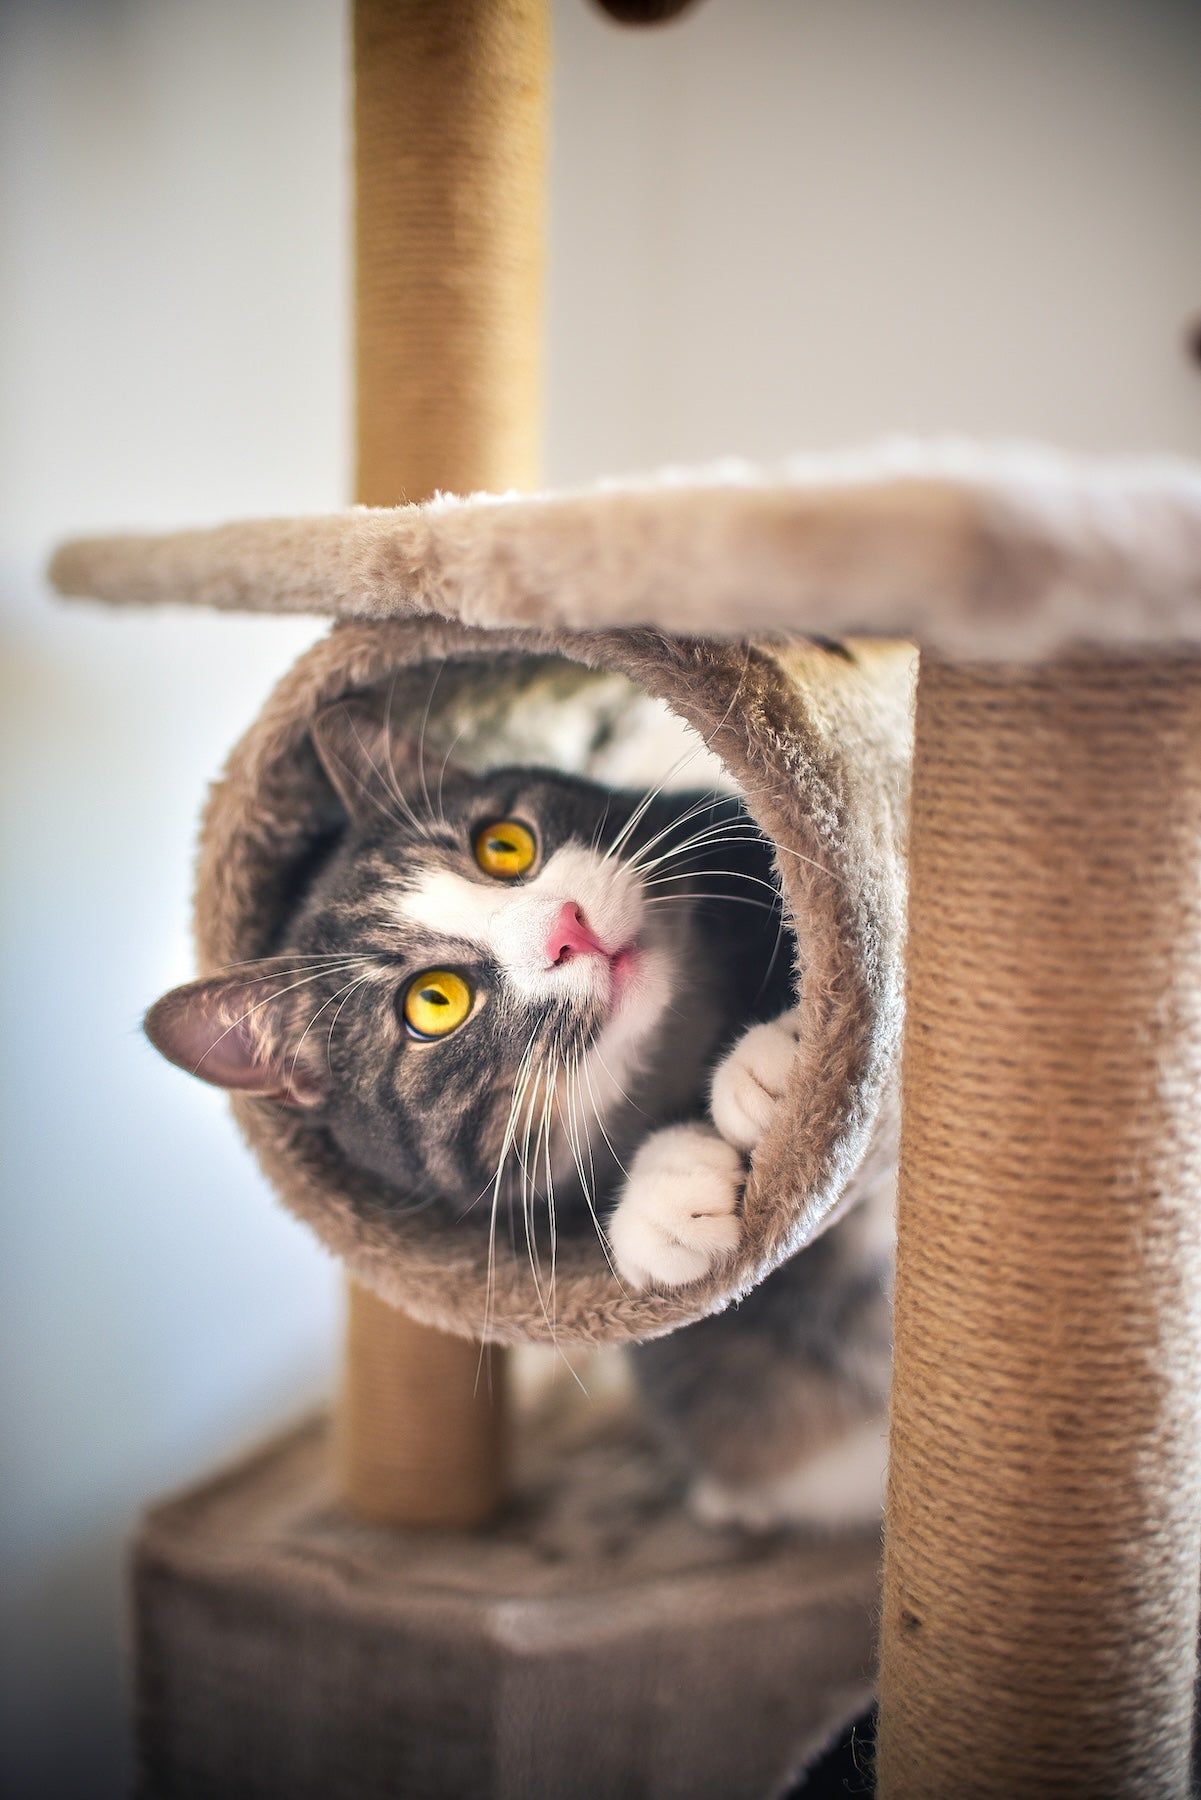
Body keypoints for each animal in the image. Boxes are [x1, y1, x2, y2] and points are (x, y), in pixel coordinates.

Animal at [145, 680, 893, 1526]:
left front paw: (771, 1059)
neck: (670, 1053)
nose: (567, 928)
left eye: (501, 845)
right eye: (432, 1001)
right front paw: (663, 1199)